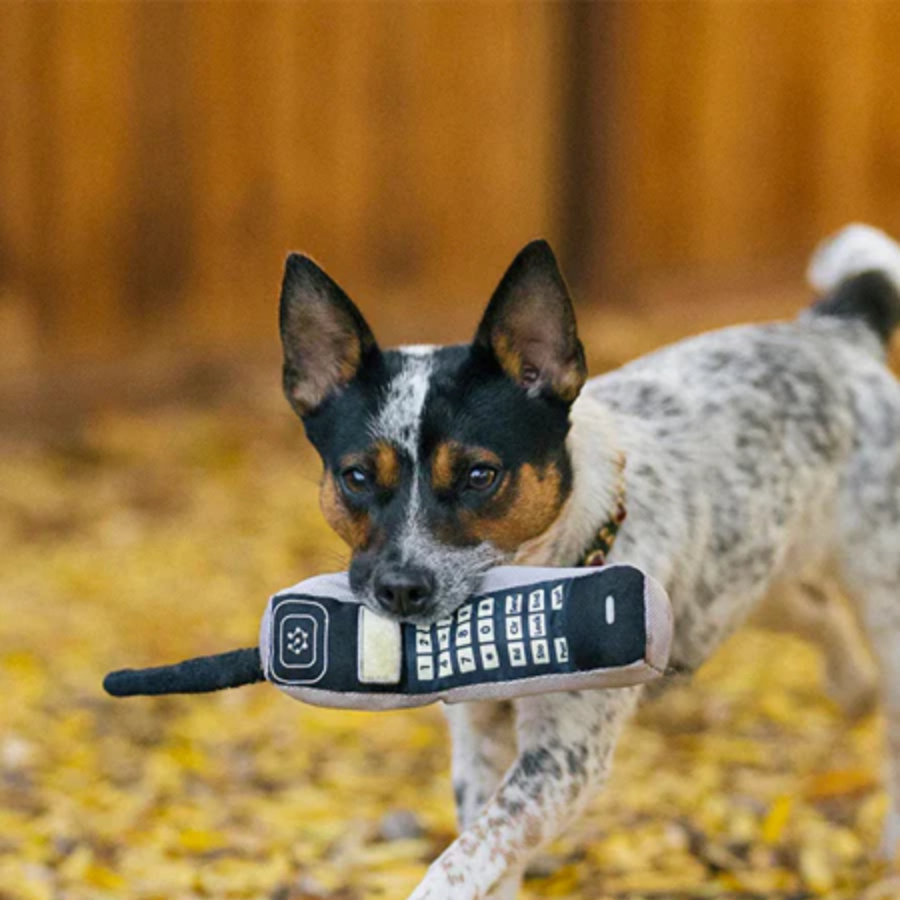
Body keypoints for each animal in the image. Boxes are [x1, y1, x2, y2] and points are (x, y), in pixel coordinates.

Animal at [280, 223, 900, 892]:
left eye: (479, 475)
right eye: (357, 477)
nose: (400, 588)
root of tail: (835, 331)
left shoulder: (564, 759)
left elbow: (461, 863)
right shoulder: (479, 741)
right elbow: (489, 857)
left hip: (881, 603)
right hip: (748, 577)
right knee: (816, 614)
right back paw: (851, 684)